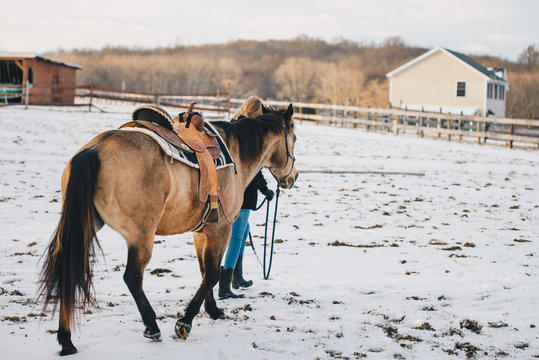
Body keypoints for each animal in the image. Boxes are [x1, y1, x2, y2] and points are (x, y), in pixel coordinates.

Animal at [38, 97, 300, 354]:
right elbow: (213, 274)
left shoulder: (201, 233)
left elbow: (205, 271)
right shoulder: (221, 230)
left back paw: (66, 340)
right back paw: (152, 327)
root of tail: (94, 150)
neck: (236, 154)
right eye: (295, 139)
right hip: (141, 236)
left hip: (86, 224)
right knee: (132, 277)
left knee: (68, 267)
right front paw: (185, 322)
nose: (293, 177)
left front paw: (212, 310)